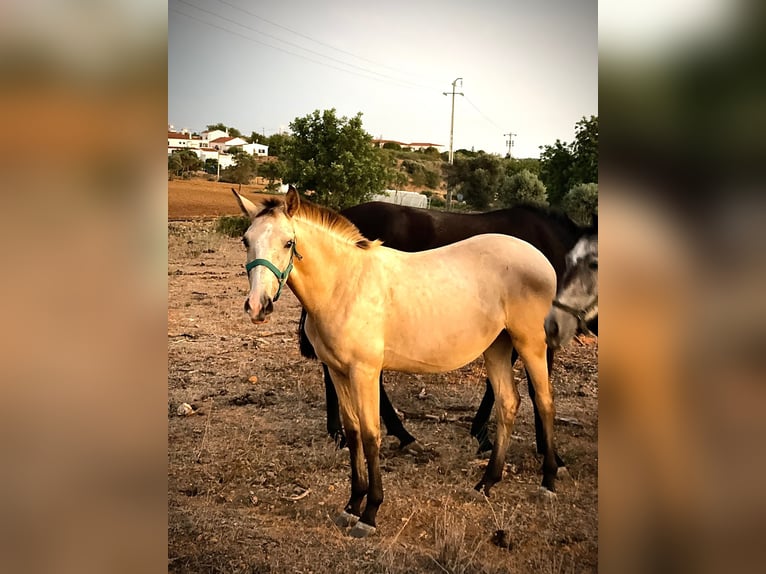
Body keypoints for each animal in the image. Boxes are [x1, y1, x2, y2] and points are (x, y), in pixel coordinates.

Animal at [232, 190, 560, 540]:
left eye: (288, 242)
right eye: (246, 240)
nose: (258, 306)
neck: (345, 285)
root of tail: (543, 261)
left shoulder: (364, 372)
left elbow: (371, 435)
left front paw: (370, 513)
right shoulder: (337, 371)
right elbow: (352, 433)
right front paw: (352, 504)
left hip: (531, 345)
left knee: (544, 402)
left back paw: (548, 480)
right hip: (497, 347)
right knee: (508, 402)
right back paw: (486, 483)